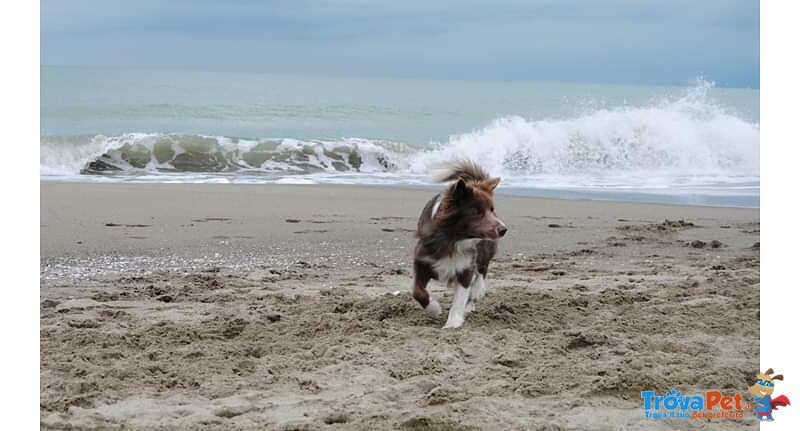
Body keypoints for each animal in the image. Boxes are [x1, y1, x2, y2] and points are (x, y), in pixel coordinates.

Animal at [412, 160, 506, 330]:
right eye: (477, 212)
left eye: (491, 210)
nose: (503, 229)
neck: (452, 239)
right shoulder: (422, 260)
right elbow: (417, 291)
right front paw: (434, 308)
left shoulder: (466, 266)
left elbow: (460, 298)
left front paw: (452, 324)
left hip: (486, 248)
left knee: (482, 269)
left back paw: (476, 293)